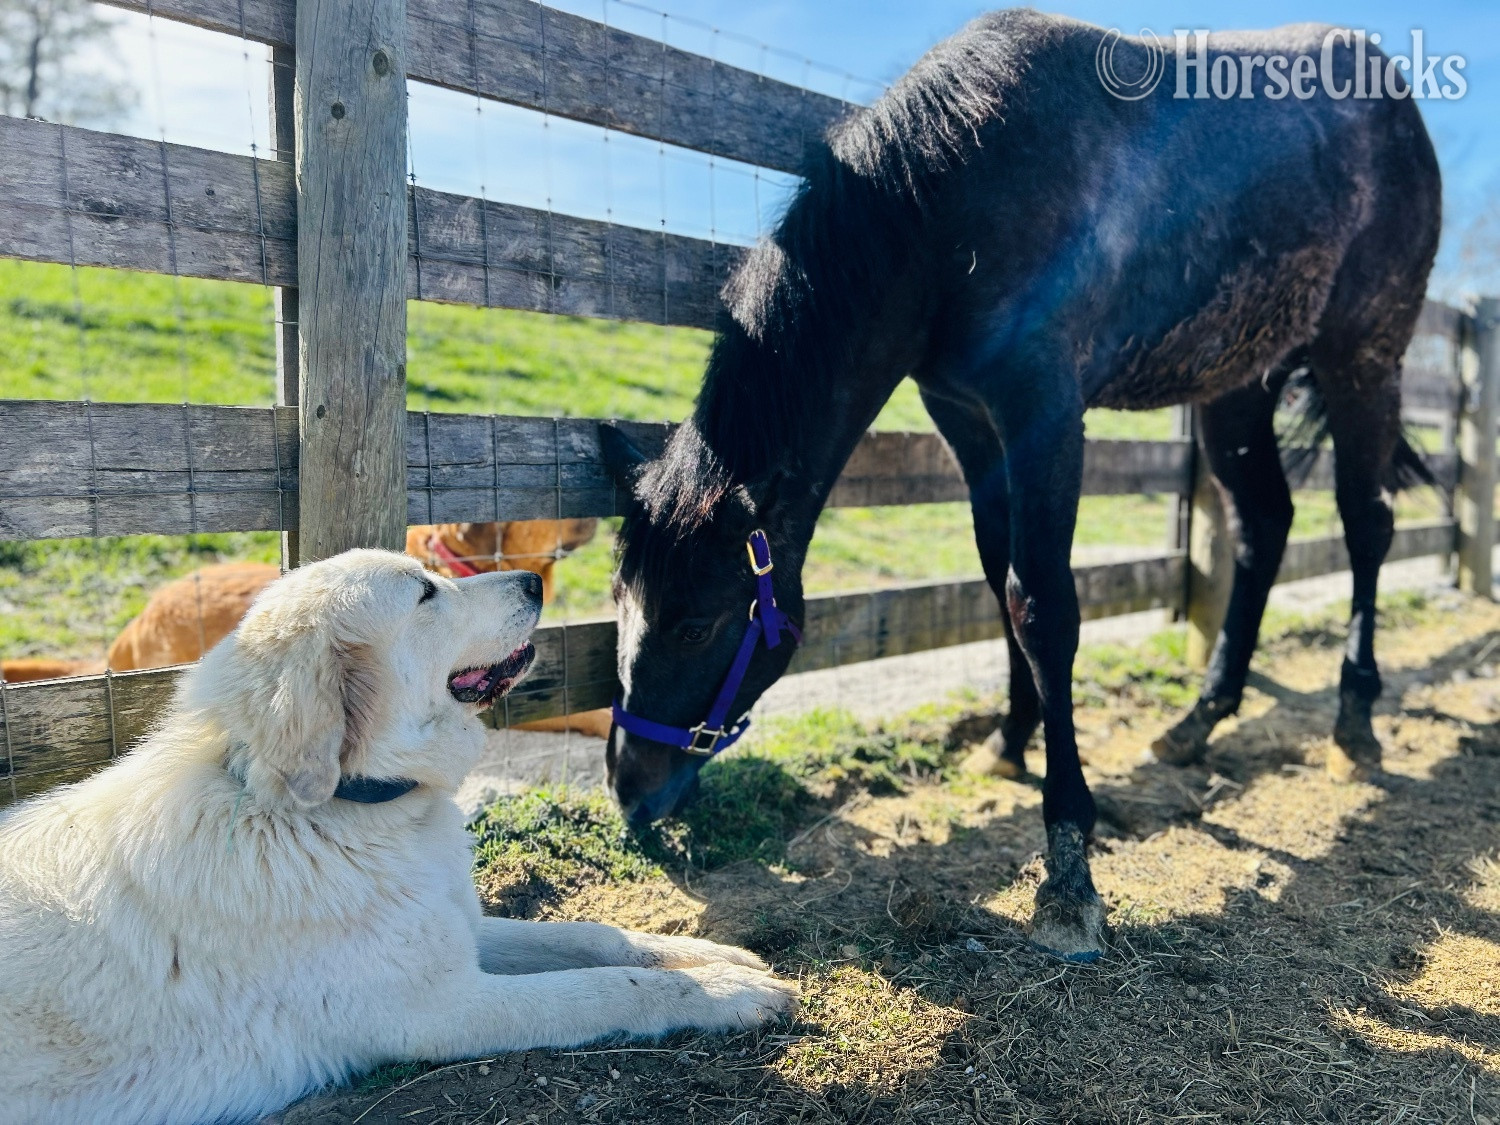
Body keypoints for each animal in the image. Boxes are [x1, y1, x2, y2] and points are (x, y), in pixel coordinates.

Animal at [598, 10, 1441, 961]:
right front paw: (1007, 740)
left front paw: (1068, 868)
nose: (630, 787)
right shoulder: (970, 423)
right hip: (1237, 385)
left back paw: (1354, 721)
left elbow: (1041, 605)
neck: (943, 206)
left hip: (1362, 355)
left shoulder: (1045, 412)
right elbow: (996, 583)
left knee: (1366, 523)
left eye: (698, 621)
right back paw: (1201, 716)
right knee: (1265, 527)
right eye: (622, 604)